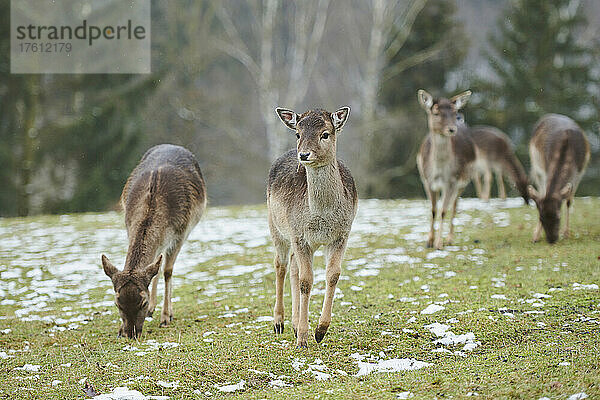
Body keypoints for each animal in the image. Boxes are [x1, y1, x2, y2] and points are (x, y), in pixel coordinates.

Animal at [102, 144, 207, 338]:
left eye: (142, 302)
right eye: (117, 303)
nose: (131, 333)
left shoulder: (180, 233)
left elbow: (167, 271)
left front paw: (165, 317)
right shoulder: (128, 227)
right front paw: (120, 329)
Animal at [270, 106, 358, 346]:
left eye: (325, 133)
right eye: (298, 133)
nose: (304, 155)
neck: (323, 216)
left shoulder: (341, 235)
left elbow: (333, 275)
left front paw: (320, 331)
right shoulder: (299, 234)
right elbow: (306, 281)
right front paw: (302, 338)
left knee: (292, 266)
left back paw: (293, 323)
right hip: (276, 227)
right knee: (280, 265)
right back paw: (279, 323)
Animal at [418, 89, 478, 248]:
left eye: (454, 111)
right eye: (436, 112)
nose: (452, 129)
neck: (439, 172)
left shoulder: (451, 182)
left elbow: (443, 211)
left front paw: (439, 244)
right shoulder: (427, 182)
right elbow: (433, 210)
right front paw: (429, 241)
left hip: (464, 182)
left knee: (455, 206)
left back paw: (450, 239)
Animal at [528, 113, 588, 244]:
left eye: (558, 216)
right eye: (541, 217)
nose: (552, 240)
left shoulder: (579, 173)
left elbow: (569, 201)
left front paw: (566, 234)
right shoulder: (545, 169)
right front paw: (535, 236)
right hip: (536, 165)